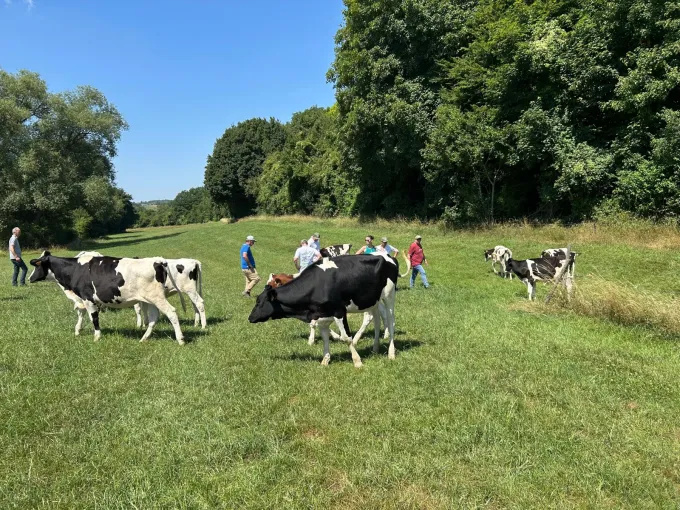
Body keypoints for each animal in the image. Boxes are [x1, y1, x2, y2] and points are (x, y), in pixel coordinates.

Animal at [29, 251, 186, 344]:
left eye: (37, 265)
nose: (29, 278)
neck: (75, 269)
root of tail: (158, 261)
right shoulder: (83, 299)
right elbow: (82, 314)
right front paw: (78, 330)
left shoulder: (88, 298)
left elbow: (93, 318)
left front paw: (97, 336)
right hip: (151, 299)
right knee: (154, 317)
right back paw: (144, 338)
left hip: (157, 297)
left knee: (171, 312)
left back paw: (180, 339)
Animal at [249, 254, 398, 367]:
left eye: (259, 302)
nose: (250, 318)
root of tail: (387, 256)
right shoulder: (320, 315)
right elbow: (325, 337)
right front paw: (325, 360)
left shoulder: (339, 312)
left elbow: (346, 338)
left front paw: (357, 361)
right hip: (373, 301)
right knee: (376, 320)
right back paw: (375, 348)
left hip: (389, 296)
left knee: (391, 321)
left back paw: (391, 353)